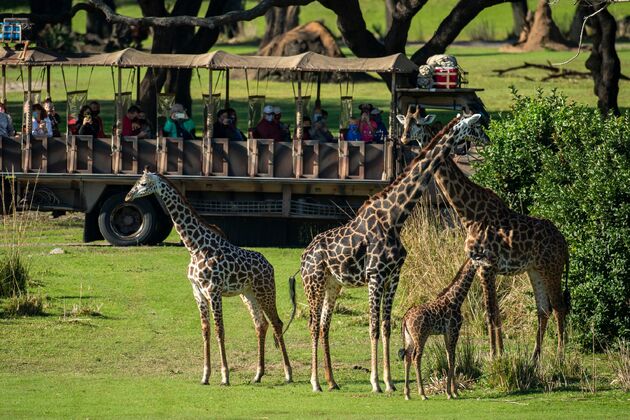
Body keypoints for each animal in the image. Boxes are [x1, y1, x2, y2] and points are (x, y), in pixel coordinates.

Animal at [302, 113, 484, 392]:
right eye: (474, 125)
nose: (486, 139)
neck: (396, 217)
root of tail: (303, 257)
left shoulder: (393, 276)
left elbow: (387, 326)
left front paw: (389, 382)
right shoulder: (375, 275)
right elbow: (373, 327)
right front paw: (375, 382)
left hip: (333, 284)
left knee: (324, 325)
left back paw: (331, 381)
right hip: (314, 282)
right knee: (312, 325)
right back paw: (315, 383)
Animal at [402, 254, 492, 398]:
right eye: (480, 257)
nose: (489, 264)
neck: (456, 300)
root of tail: (405, 317)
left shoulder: (446, 333)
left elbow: (449, 357)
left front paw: (453, 391)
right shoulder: (454, 330)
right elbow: (453, 358)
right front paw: (451, 393)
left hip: (409, 337)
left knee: (407, 357)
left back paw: (407, 394)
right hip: (420, 336)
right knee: (416, 357)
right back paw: (423, 394)